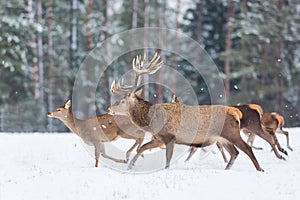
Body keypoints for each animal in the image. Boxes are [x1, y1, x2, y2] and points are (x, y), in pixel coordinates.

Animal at [109, 52, 264, 171]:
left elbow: (167, 160)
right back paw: (228, 169)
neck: (150, 122)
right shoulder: (159, 139)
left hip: (232, 133)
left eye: (122, 101)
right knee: (235, 152)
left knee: (247, 149)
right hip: (222, 138)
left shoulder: (170, 137)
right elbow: (142, 148)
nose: (109, 109)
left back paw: (260, 169)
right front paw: (130, 165)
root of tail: (236, 112)